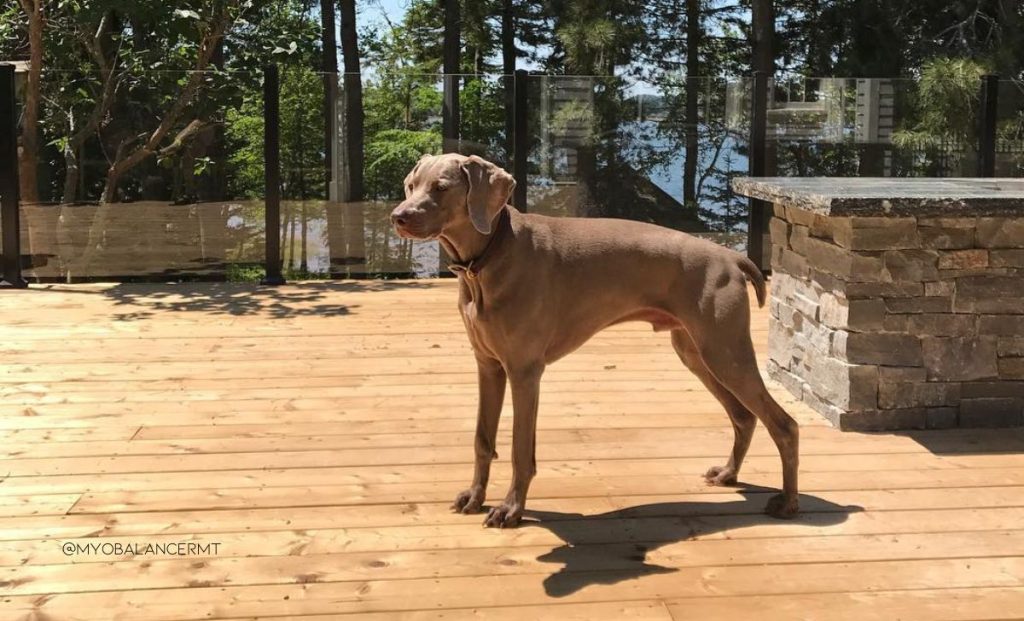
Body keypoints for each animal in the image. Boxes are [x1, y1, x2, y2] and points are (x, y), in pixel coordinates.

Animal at [387, 153, 794, 528]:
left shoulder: (524, 371)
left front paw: (510, 509)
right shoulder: (488, 366)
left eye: (441, 187)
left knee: (784, 424)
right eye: (411, 185)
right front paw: (475, 496)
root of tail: (731, 257)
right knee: (744, 416)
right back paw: (728, 474)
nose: (398, 217)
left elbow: (521, 449)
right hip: (696, 352)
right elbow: (482, 440)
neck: (487, 260)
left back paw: (787, 503)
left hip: (725, 352)